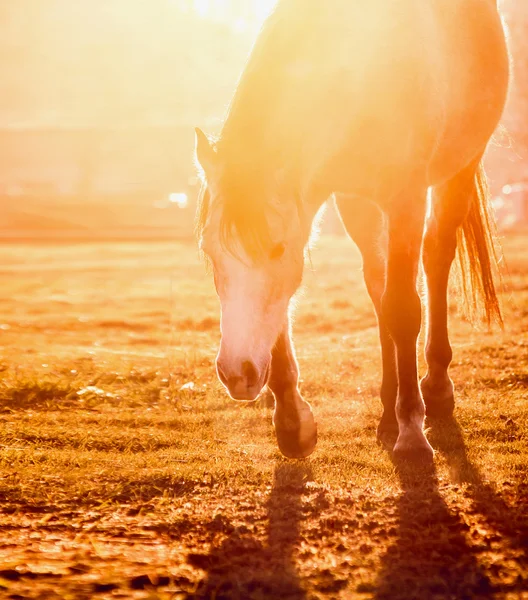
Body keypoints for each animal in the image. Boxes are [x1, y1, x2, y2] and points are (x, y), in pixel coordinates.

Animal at [196, 0, 510, 464]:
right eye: (210, 252)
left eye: (277, 249)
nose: (238, 373)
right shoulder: (340, 194)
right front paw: (292, 422)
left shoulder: (405, 198)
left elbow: (404, 310)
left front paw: (412, 430)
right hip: (361, 205)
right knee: (379, 284)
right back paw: (388, 404)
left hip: (461, 165)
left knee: (435, 258)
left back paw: (434, 389)